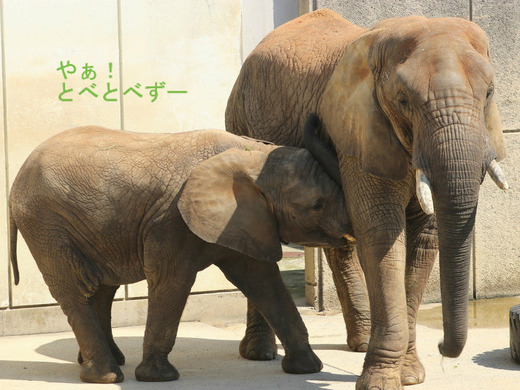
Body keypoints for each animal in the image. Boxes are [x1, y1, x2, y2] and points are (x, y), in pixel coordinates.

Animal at [9, 126, 350, 382]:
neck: (254, 154)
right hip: (46, 223)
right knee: (76, 290)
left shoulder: (244, 219)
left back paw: (106, 361)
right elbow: (172, 281)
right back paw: (106, 376)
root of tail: (15, 181)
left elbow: (263, 282)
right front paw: (158, 377)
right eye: (317, 204)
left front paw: (307, 369)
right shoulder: (171, 222)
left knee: (103, 288)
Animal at [225, 9, 506, 390]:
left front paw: (410, 375)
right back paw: (259, 353)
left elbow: (425, 239)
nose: (442, 346)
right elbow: (382, 233)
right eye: (403, 100)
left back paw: (358, 343)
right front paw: (381, 383)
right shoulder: (357, 133)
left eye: (489, 93)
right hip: (240, 121)